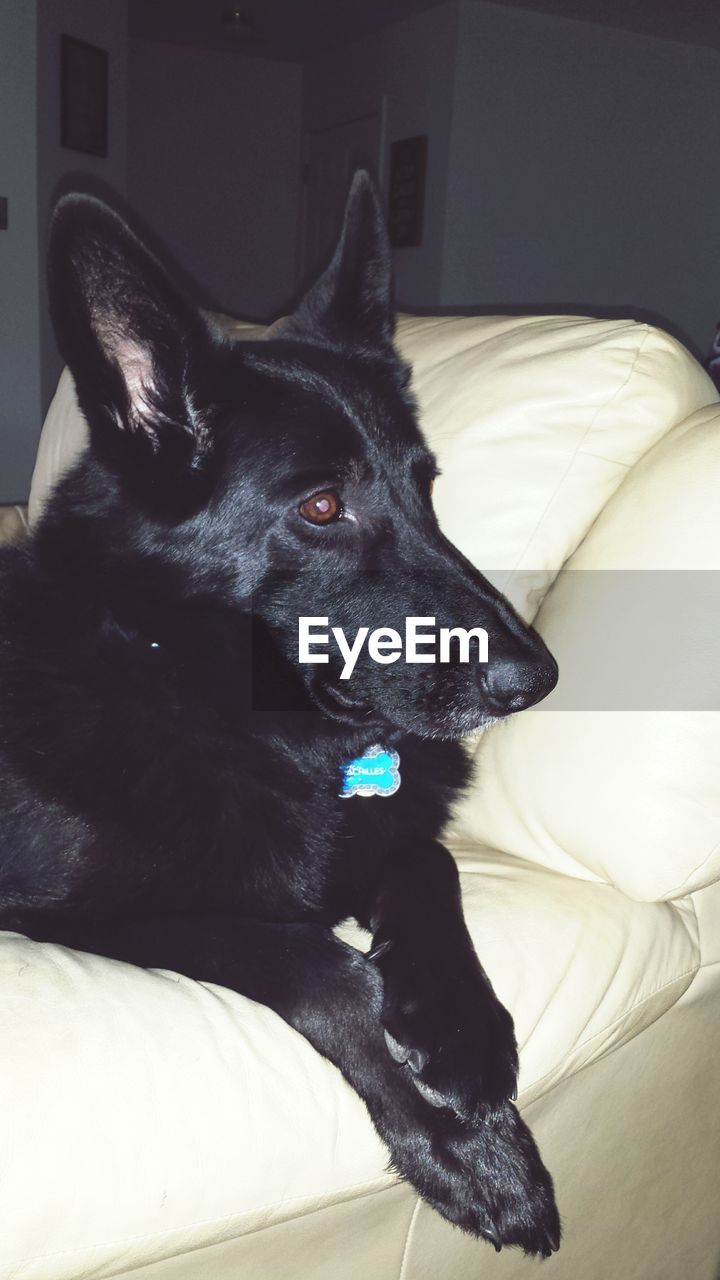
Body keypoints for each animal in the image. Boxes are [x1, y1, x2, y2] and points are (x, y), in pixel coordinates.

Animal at [0, 175, 558, 1254]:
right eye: (323, 507)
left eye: (428, 488)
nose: (537, 678)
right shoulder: (78, 914)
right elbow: (320, 966)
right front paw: (473, 1151)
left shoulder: (390, 829)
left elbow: (427, 862)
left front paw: (461, 1031)